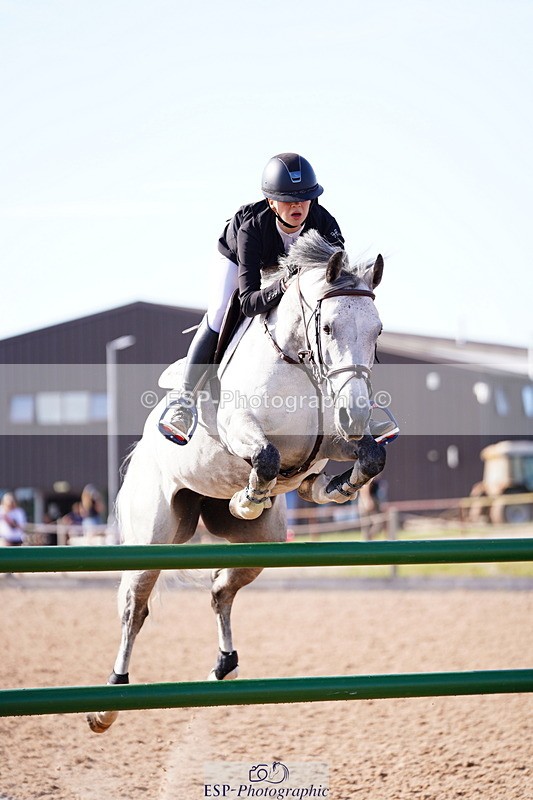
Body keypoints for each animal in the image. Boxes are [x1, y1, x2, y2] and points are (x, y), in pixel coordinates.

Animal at [87, 230, 387, 733]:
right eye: (327, 328)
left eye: (378, 331)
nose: (357, 413)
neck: (299, 362)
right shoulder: (237, 427)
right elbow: (265, 455)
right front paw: (248, 497)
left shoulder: (332, 441)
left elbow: (371, 455)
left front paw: (337, 486)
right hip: (154, 536)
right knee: (134, 607)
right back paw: (109, 701)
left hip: (262, 542)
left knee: (220, 588)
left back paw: (223, 666)